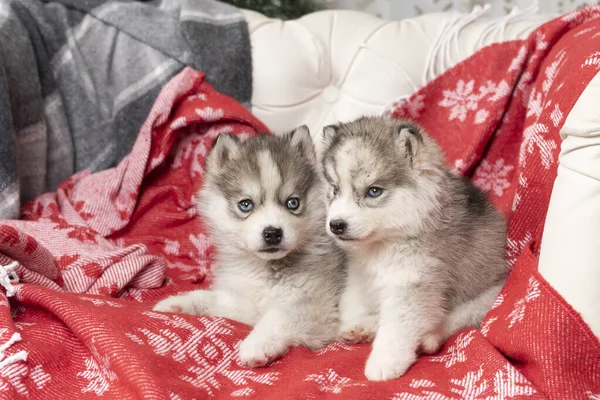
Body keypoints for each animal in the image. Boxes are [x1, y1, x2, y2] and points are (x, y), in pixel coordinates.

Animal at [152, 126, 344, 368]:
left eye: (293, 203)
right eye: (245, 205)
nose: (272, 233)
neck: (267, 269)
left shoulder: (318, 310)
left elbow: (277, 316)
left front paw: (257, 344)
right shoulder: (246, 303)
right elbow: (210, 298)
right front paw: (177, 303)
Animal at [318, 115, 506, 382]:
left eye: (373, 191)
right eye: (334, 189)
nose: (336, 225)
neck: (385, 241)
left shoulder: (412, 282)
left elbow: (399, 327)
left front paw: (384, 362)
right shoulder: (361, 273)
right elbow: (352, 301)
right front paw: (356, 322)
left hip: (487, 297)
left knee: (449, 320)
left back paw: (428, 339)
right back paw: (366, 327)